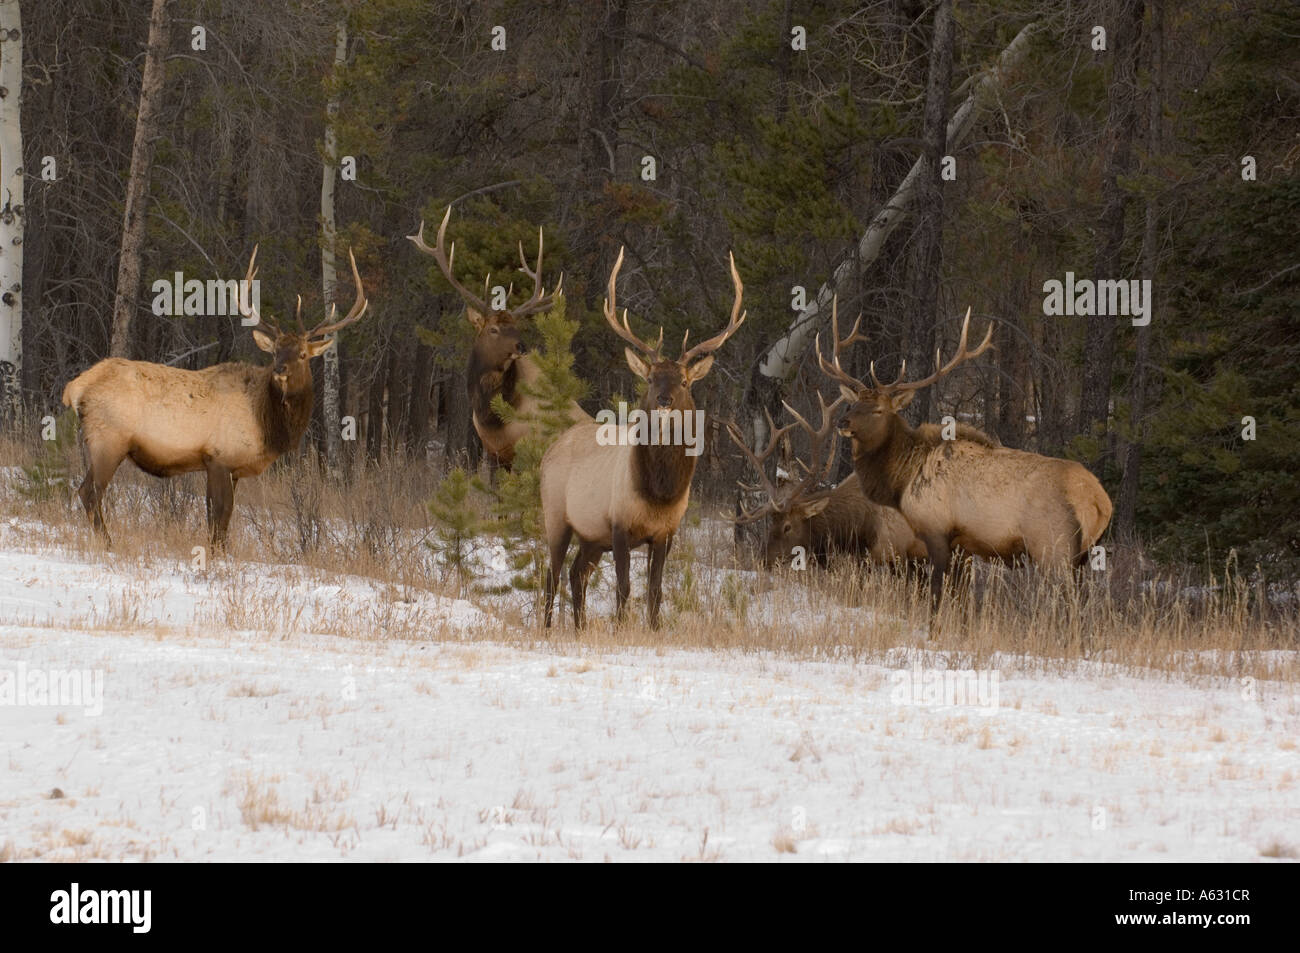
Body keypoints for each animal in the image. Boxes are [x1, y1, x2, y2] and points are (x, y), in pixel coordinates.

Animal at [61, 247, 368, 549]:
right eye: (275, 352)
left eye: (303, 354)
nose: (280, 369)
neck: (266, 422)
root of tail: (75, 387)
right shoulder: (220, 457)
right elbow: (221, 514)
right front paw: (217, 553)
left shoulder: (227, 468)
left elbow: (217, 518)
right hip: (108, 440)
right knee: (88, 492)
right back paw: (108, 543)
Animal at [407, 207, 590, 475]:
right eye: (493, 329)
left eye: (516, 327)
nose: (521, 346)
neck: (492, 418)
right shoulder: (494, 454)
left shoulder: (527, 453)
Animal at [541, 247, 746, 630]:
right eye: (650, 379)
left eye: (684, 381)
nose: (664, 400)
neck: (659, 494)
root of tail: (549, 450)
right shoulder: (619, 525)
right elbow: (623, 589)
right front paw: (623, 630)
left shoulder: (666, 532)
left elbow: (655, 591)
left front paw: (653, 629)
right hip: (557, 514)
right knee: (553, 573)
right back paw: (546, 628)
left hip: (591, 536)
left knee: (577, 574)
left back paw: (580, 627)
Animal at [816, 300, 1112, 613]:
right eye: (854, 403)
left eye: (878, 410)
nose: (843, 422)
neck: (902, 480)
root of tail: (1100, 502)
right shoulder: (963, 545)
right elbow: (959, 597)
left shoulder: (936, 530)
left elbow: (935, 593)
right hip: (1082, 556)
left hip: (1053, 547)